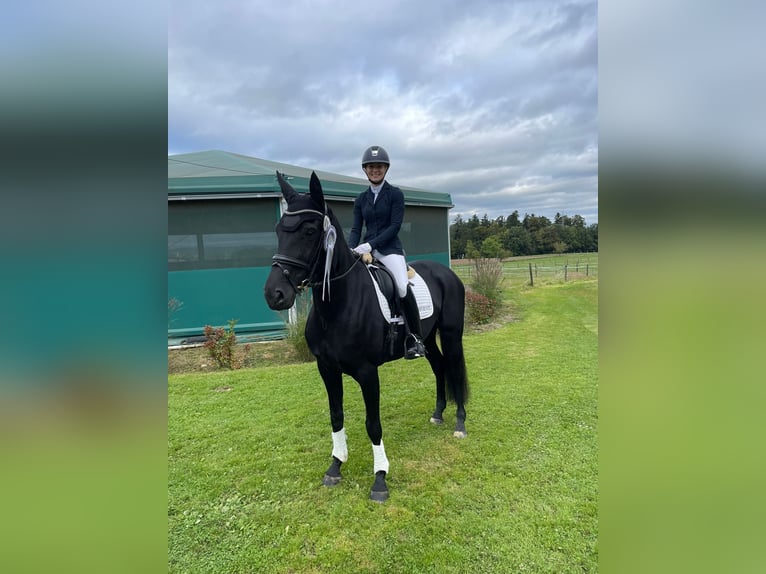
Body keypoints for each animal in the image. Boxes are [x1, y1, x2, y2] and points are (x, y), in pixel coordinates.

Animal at [264, 171, 469, 502]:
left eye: (309, 231)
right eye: (279, 229)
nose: (274, 294)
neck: (337, 307)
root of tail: (446, 272)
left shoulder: (367, 372)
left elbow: (373, 424)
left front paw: (380, 479)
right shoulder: (327, 369)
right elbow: (336, 416)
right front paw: (335, 466)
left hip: (451, 334)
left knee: (453, 367)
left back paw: (460, 423)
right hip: (426, 338)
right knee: (439, 366)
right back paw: (438, 414)